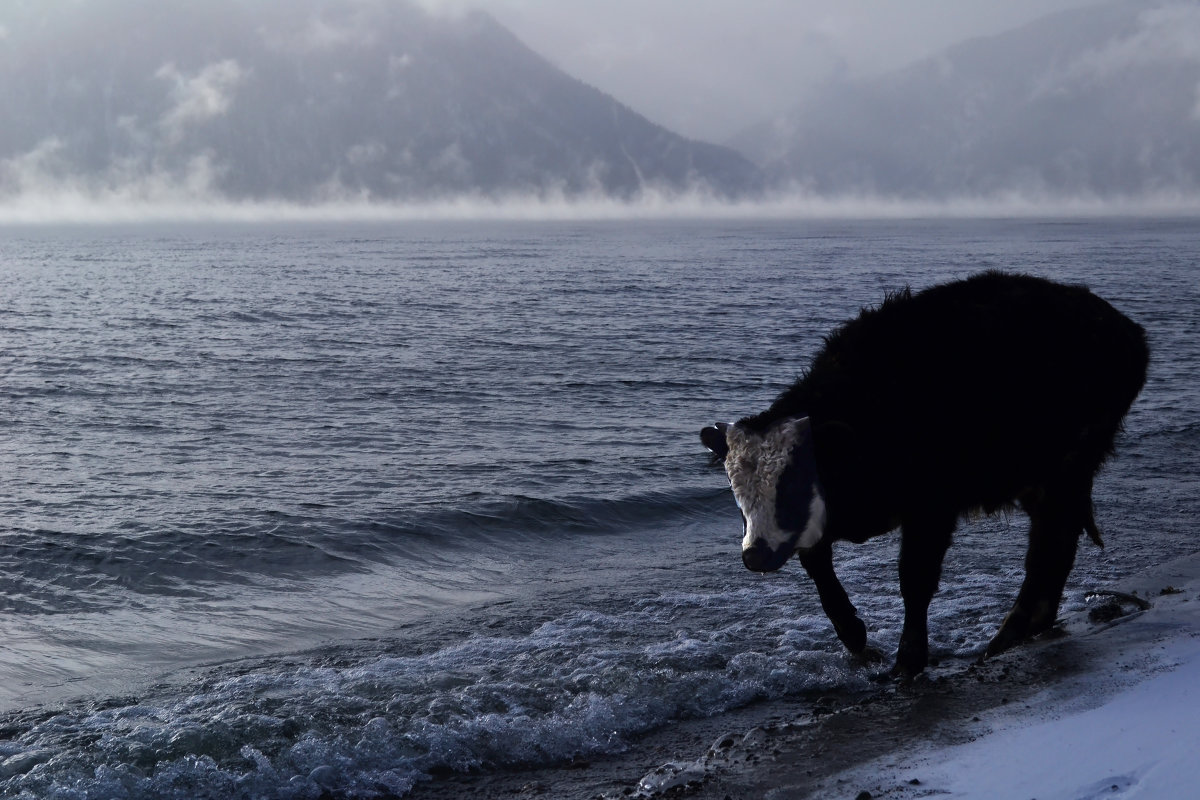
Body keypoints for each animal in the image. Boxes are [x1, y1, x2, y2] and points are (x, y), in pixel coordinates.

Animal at [700, 273, 1152, 676]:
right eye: (737, 492)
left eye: (790, 484)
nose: (755, 555)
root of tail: (1125, 329)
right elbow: (819, 568)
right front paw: (855, 635)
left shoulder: (932, 508)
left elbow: (914, 579)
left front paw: (908, 661)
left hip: (1065, 470)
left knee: (1050, 548)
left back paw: (1005, 638)